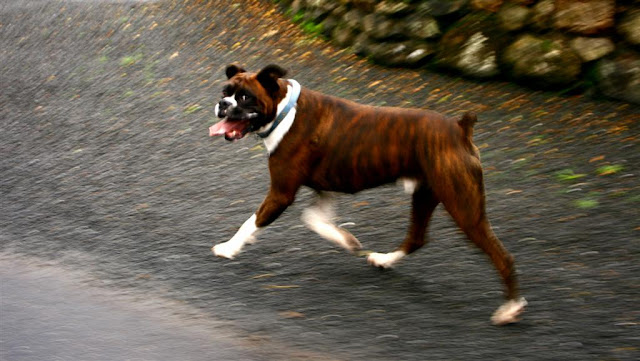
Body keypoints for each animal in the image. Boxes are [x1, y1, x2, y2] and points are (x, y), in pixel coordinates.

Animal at [209, 62, 524, 324]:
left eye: (245, 97)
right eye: (225, 91)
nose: (222, 103)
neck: (286, 111)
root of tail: (460, 128)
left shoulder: (281, 193)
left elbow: (252, 222)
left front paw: (228, 248)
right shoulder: (324, 189)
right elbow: (313, 219)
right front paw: (346, 240)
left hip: (463, 206)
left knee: (502, 255)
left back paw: (510, 309)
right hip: (425, 195)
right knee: (416, 238)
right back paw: (384, 259)